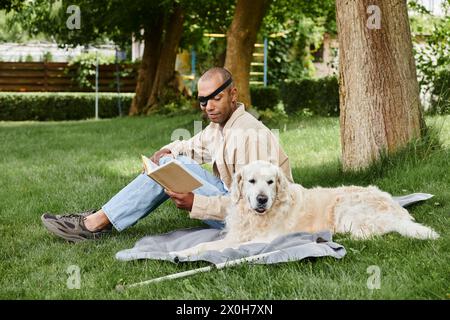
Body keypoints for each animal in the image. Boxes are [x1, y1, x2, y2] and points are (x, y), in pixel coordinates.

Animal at [172, 160, 440, 258]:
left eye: (270, 182)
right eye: (251, 181)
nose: (262, 199)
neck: (257, 217)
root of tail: (396, 209)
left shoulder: (264, 239)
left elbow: (224, 247)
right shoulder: (237, 233)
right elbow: (206, 245)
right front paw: (184, 251)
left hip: (346, 210)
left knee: (367, 234)